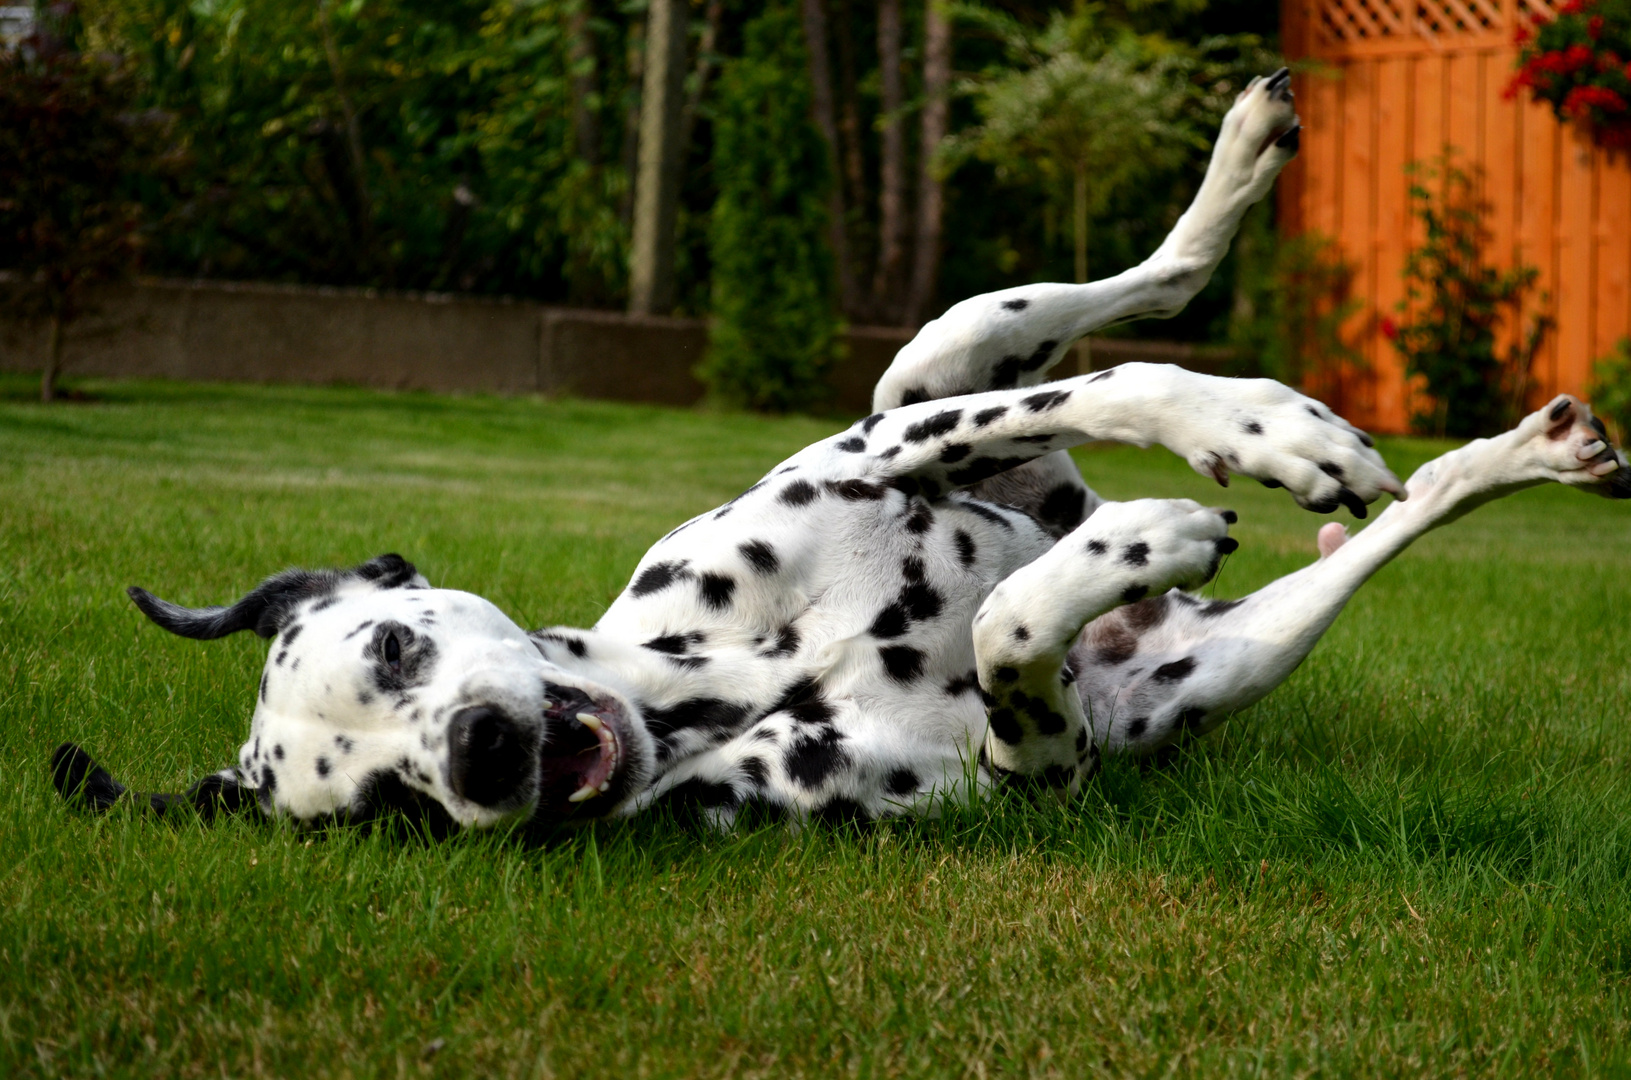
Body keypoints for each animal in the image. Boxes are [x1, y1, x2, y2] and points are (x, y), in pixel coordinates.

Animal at [50, 71, 1631, 835]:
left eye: (391, 650)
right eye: (386, 810)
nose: (480, 762)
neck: (716, 681)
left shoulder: (885, 447)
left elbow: (1117, 394)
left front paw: (1249, 430)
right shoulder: (1033, 778)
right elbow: (1007, 633)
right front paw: (1132, 542)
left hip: (935, 354)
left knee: (1138, 307)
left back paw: (1244, 186)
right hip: (1224, 664)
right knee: (1402, 516)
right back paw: (1514, 457)